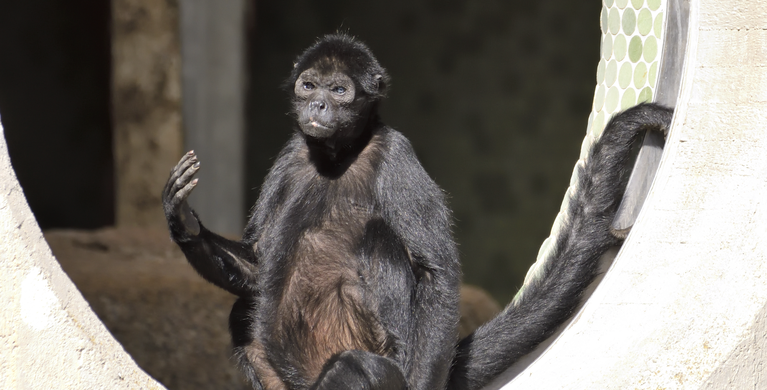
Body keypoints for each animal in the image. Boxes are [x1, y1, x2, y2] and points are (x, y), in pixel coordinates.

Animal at [162, 33, 672, 390]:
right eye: (308, 86)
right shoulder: (292, 156)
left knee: (372, 268)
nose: (319, 104)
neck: (336, 157)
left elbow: (438, 272)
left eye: (339, 90)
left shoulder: (396, 153)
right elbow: (256, 267)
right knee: (244, 310)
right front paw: (182, 219)